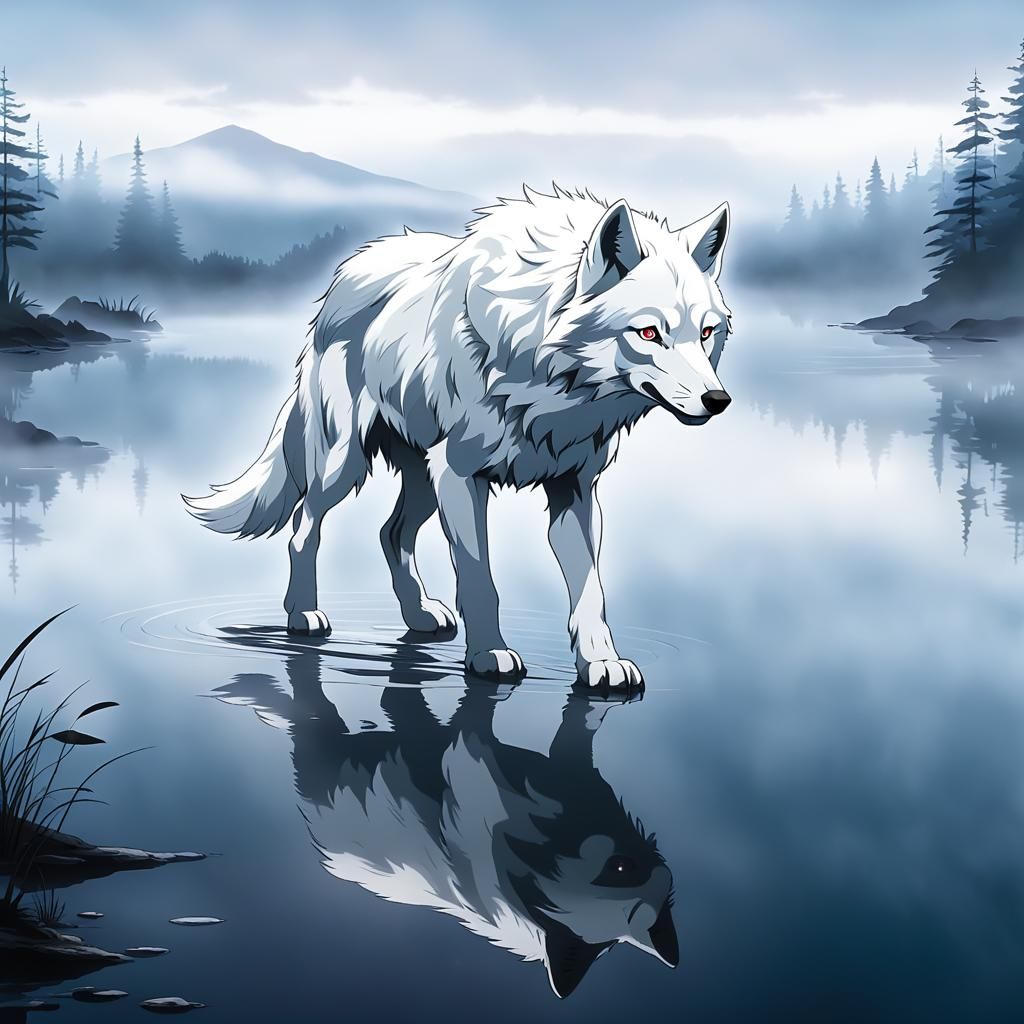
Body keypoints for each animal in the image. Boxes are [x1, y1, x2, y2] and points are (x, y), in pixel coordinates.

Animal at [185, 186, 733, 687]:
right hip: (346, 465)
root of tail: (338, 285)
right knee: (304, 528)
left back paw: (420, 616)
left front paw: (600, 664)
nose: (718, 400)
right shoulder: (461, 476)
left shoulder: (573, 489)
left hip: (422, 478)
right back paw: (302, 616)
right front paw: (489, 656)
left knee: (390, 533)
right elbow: (479, 578)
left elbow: (589, 592)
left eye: (706, 333)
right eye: (649, 333)